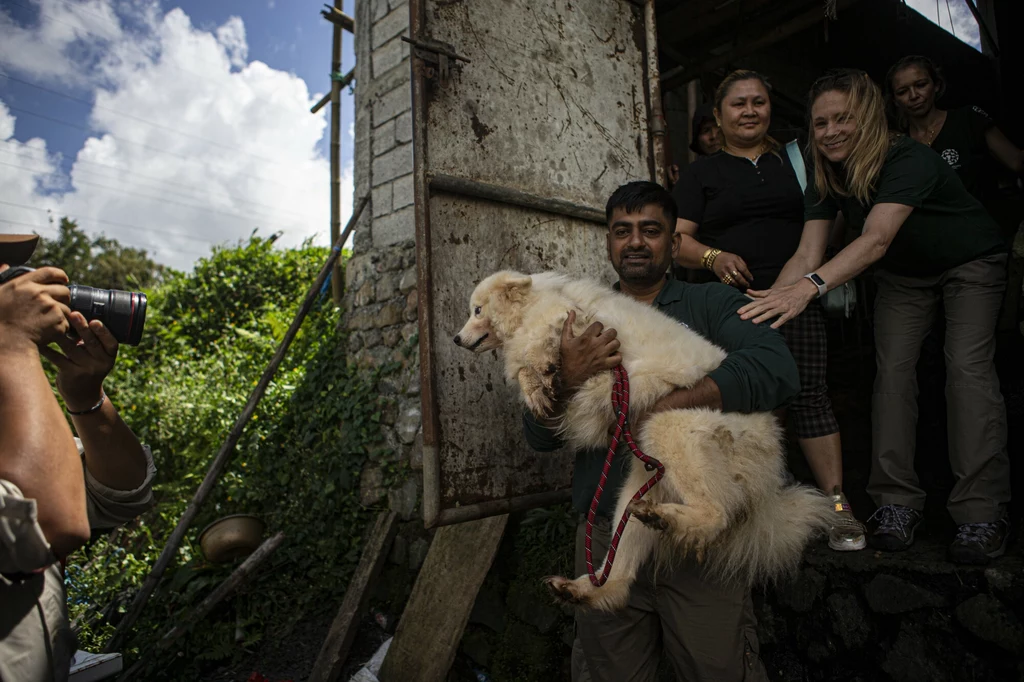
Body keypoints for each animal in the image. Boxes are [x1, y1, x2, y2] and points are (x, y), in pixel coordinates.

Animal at [456, 270, 831, 610]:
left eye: (477, 310)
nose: (457, 340)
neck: (534, 304)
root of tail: (770, 462)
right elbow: (526, 369)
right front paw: (537, 391)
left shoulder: (568, 321)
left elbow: (536, 347)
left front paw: (540, 372)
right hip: (640, 481)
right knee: (620, 569)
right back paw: (583, 587)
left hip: (665, 427)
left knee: (717, 513)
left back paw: (669, 519)